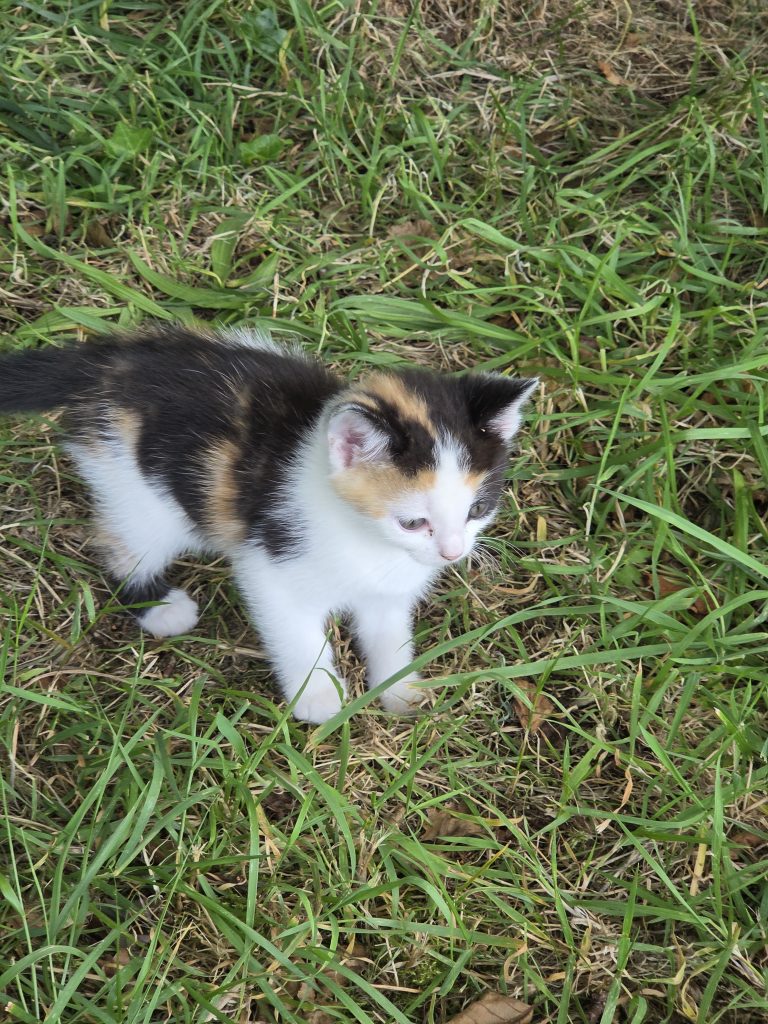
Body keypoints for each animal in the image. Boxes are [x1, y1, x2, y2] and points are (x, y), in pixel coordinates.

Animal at [0, 326, 537, 723]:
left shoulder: (388, 591)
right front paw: (319, 698)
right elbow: (296, 633)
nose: (452, 552)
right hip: (138, 493)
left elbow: (388, 633)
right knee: (124, 548)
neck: (366, 539)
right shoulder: (271, 563)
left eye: (476, 510)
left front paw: (400, 690)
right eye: (412, 522)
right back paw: (160, 607)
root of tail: (112, 365)